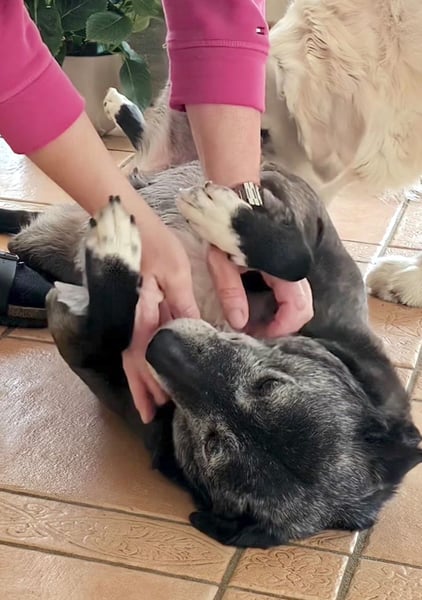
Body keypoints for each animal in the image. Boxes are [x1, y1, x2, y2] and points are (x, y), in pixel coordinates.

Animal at [6, 160, 422, 548]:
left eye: (212, 445)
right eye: (269, 385)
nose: (159, 344)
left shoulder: (82, 347)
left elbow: (113, 319)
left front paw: (116, 247)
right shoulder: (314, 227)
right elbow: (295, 259)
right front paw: (223, 220)